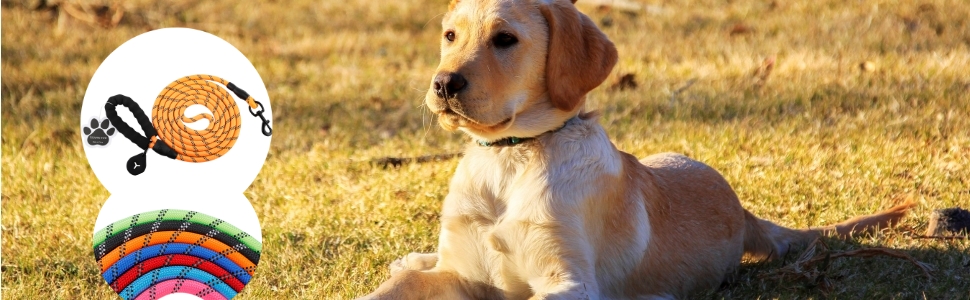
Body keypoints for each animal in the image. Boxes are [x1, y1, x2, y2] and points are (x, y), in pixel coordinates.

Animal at [360, 0, 912, 298]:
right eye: (450, 35)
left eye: (505, 39)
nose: (443, 84)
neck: (510, 157)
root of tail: (742, 210)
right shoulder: (461, 269)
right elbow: (395, 290)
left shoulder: (568, 281)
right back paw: (412, 258)